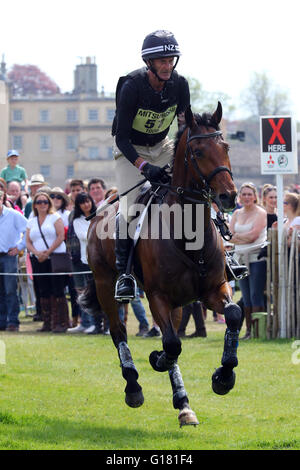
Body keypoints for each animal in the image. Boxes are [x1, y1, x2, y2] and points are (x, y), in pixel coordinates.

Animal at [81, 102, 243, 426]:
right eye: (198, 152)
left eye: (226, 147)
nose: (229, 196)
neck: (189, 234)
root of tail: (100, 208)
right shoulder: (158, 296)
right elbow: (171, 345)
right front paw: (156, 359)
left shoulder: (214, 289)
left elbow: (232, 315)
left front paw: (223, 377)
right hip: (106, 284)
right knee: (118, 332)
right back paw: (134, 386)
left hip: (179, 302)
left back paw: (184, 405)